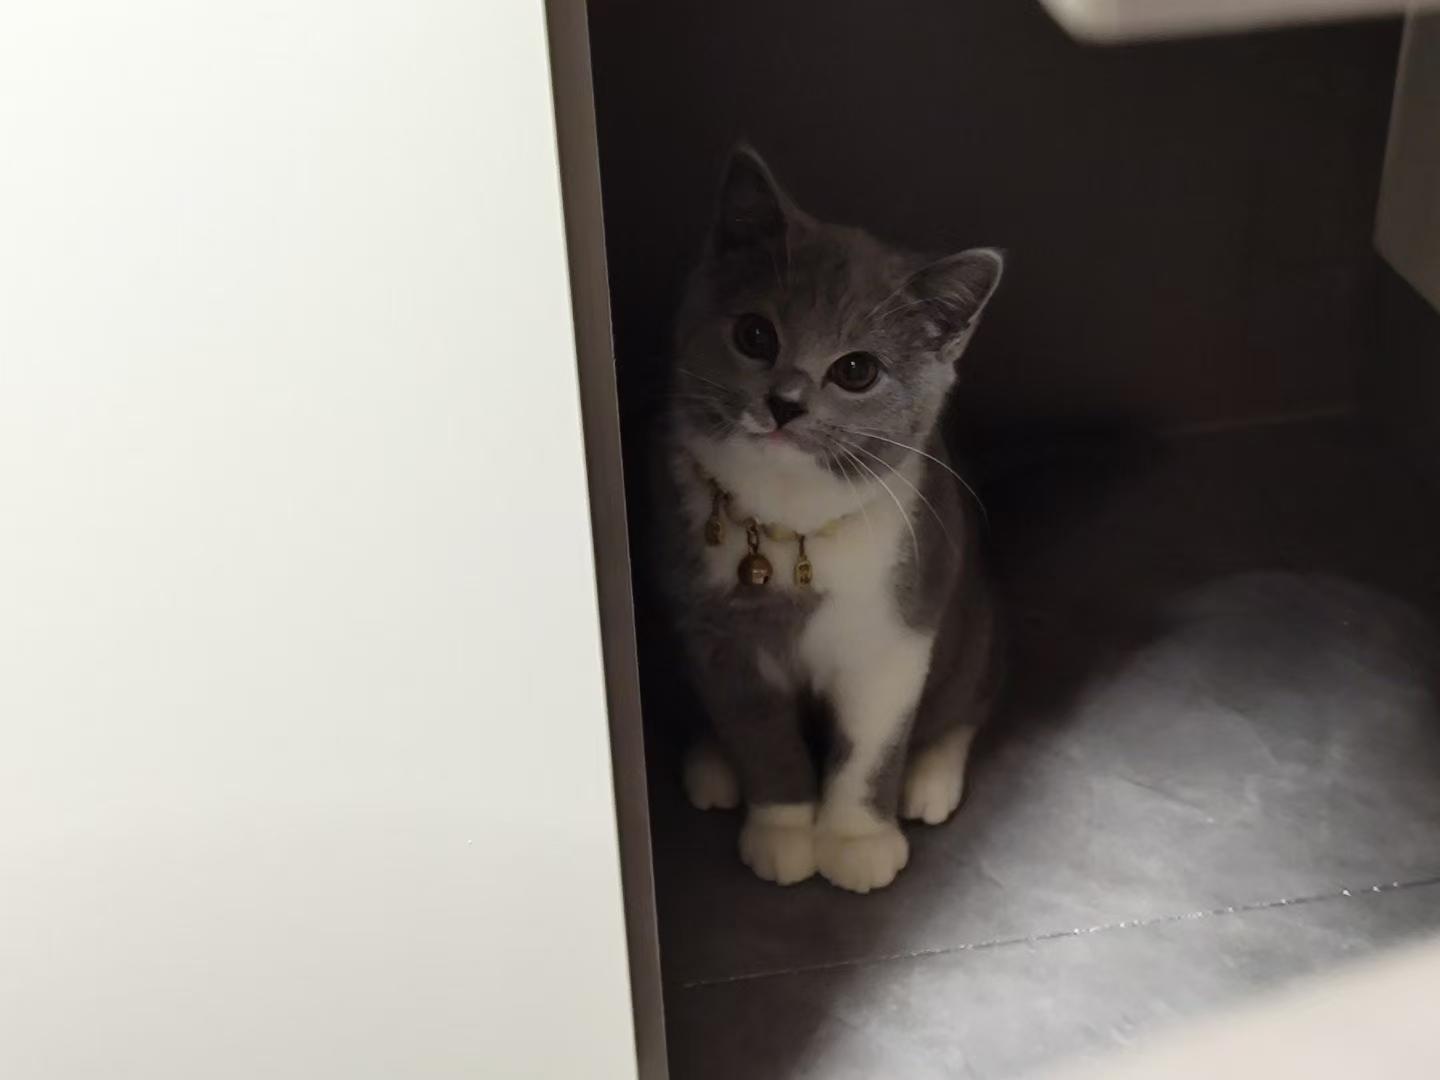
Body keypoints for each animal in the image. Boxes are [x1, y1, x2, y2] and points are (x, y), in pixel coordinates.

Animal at [656, 147, 1002, 893]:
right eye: (755, 334)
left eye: (857, 370)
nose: (785, 403)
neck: (792, 525)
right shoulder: (719, 634)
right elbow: (760, 732)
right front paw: (784, 832)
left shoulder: (896, 630)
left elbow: (872, 745)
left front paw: (855, 841)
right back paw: (710, 764)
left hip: (970, 619)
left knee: (969, 698)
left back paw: (932, 777)